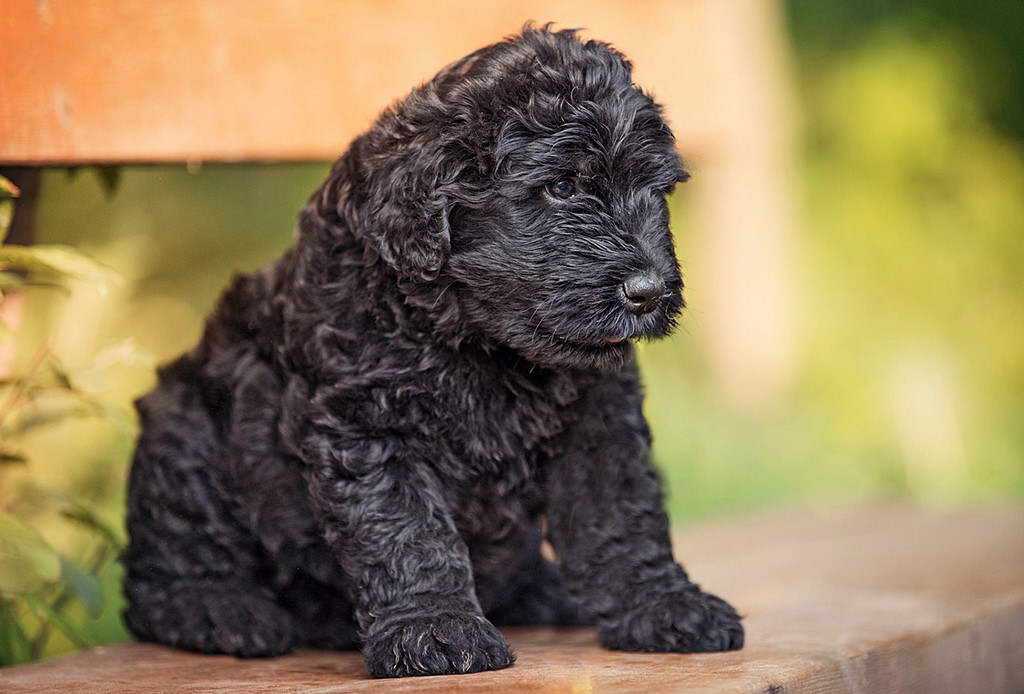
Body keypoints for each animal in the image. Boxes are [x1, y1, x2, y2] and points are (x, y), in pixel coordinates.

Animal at [121, 25, 745, 679]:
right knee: (165, 567)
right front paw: (436, 630)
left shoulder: (599, 420)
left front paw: (665, 605)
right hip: (185, 430)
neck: (483, 346)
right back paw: (220, 609)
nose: (650, 291)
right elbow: (407, 530)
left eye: (656, 190)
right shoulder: (367, 423)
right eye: (561, 187)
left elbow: (622, 514)